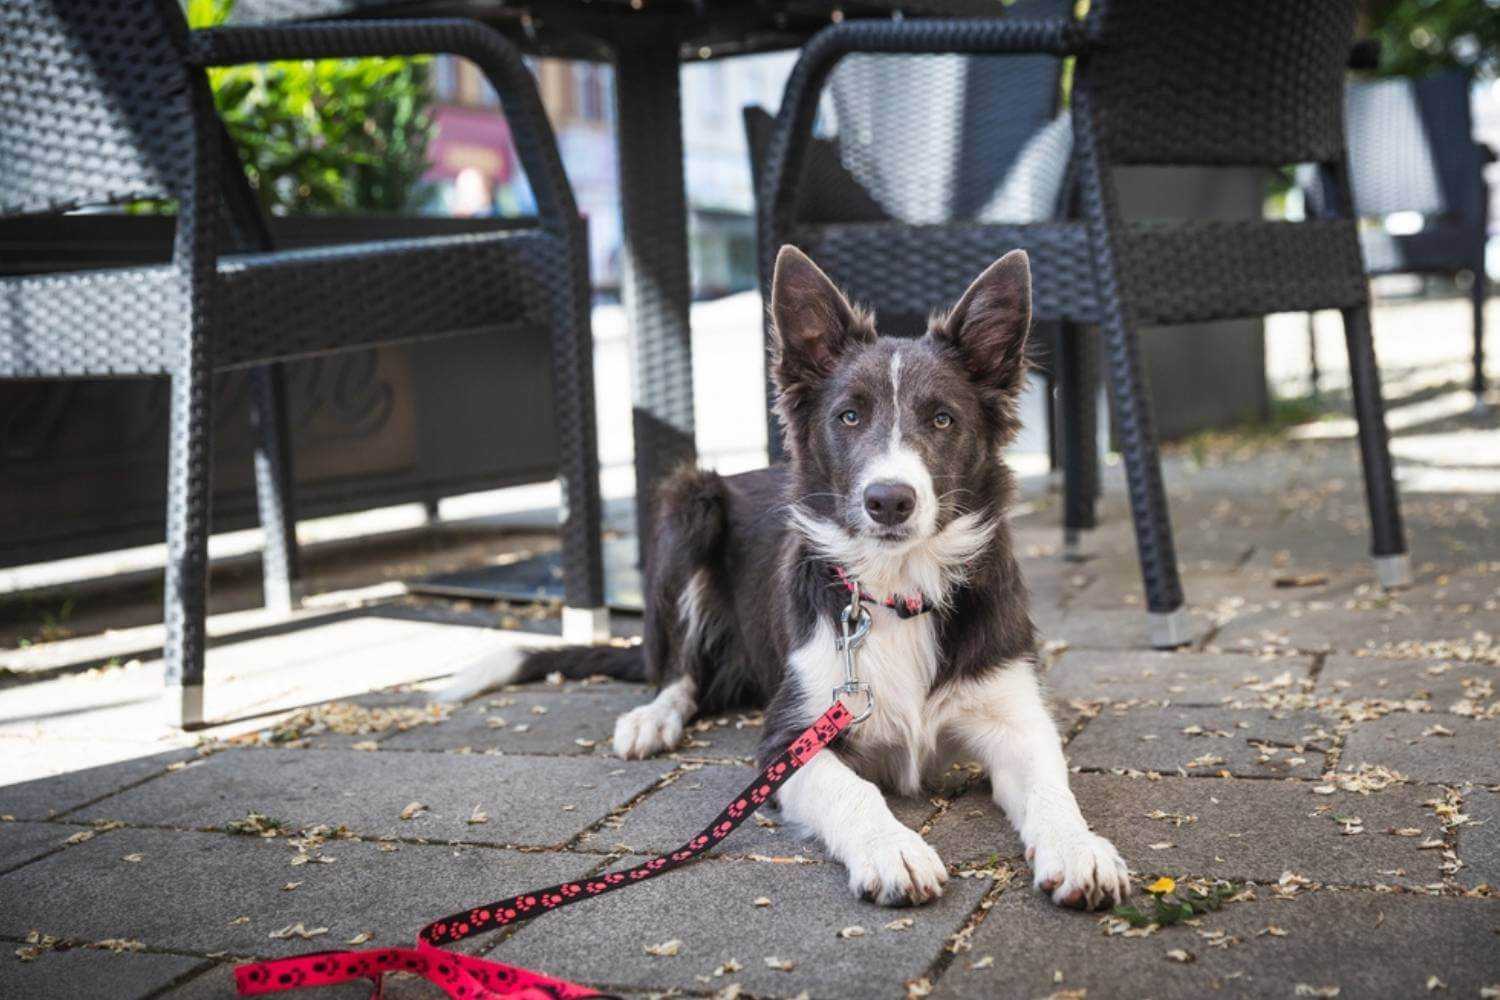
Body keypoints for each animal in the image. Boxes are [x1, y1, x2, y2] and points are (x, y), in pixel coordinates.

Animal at [438, 245, 1128, 911]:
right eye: (849, 417)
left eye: (942, 420)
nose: (889, 500)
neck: (895, 589)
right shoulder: (789, 741)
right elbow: (854, 793)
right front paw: (892, 850)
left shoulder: (1016, 718)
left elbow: (1052, 787)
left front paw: (1079, 848)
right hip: (689, 505)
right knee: (678, 670)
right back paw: (653, 718)